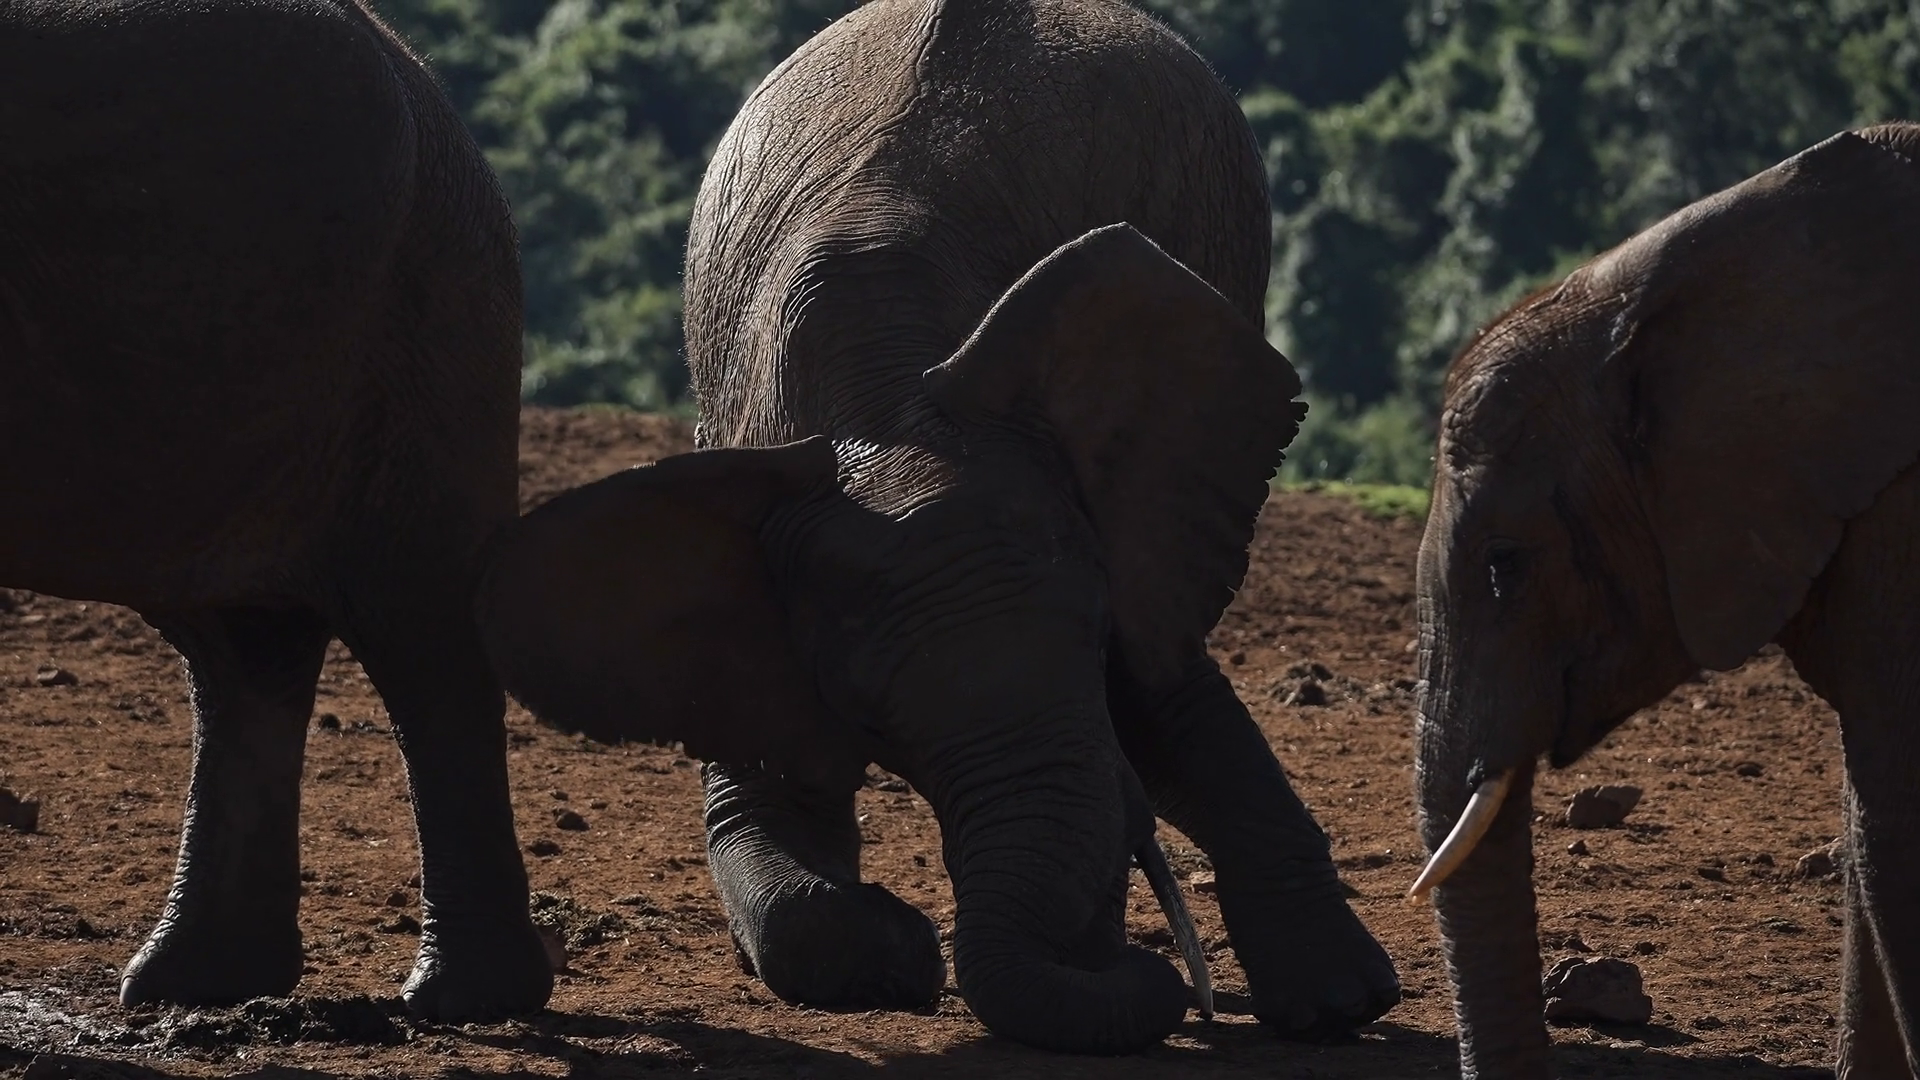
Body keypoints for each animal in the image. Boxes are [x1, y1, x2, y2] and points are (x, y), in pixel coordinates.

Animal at [475, 0, 1399, 1056]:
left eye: (1089, 637)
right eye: (875, 714)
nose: (1163, 978)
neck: (884, 408)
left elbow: (1154, 685)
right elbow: (768, 794)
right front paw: (900, 956)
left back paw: (1335, 999)